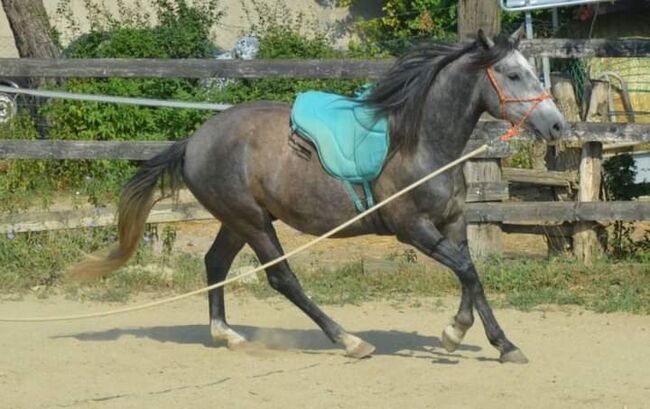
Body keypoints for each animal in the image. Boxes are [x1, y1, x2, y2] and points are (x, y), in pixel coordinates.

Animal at [72, 29, 560, 364]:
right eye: (513, 74)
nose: (557, 125)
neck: (419, 144)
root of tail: (193, 141)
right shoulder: (412, 230)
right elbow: (466, 271)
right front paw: (463, 335)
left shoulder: (453, 222)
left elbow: (471, 275)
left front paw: (493, 342)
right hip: (253, 222)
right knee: (282, 278)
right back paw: (349, 341)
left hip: (238, 221)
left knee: (214, 263)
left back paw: (227, 335)